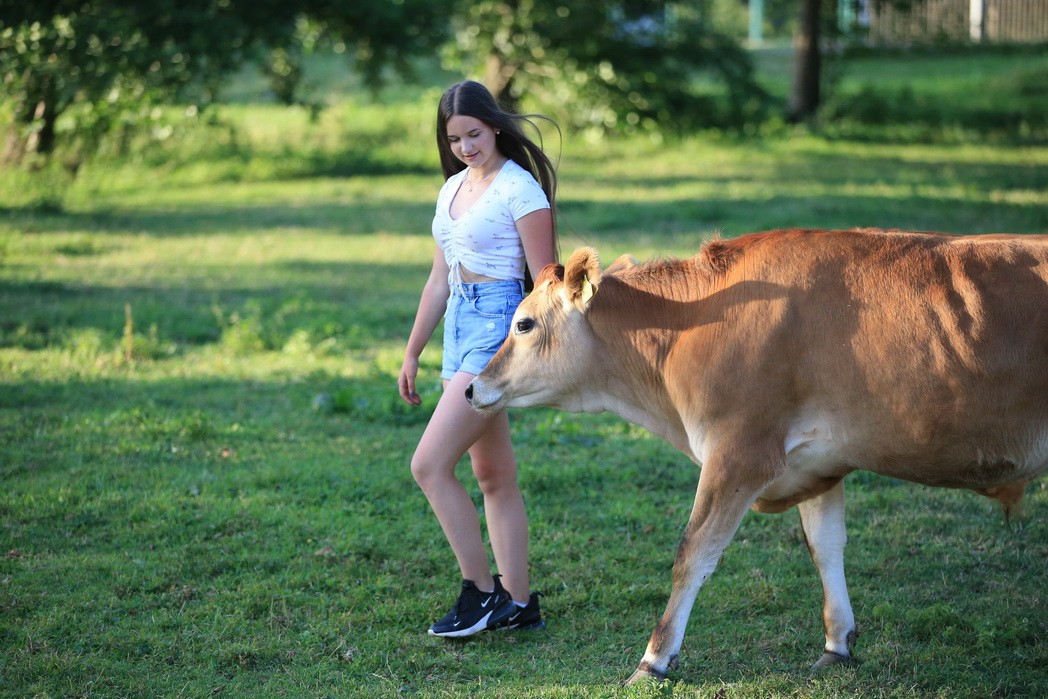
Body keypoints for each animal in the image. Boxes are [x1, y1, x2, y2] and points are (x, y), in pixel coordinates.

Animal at [467, 228, 1048, 683]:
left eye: (523, 323)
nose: (472, 388)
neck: (693, 326)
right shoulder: (818, 463)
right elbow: (826, 548)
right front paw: (837, 645)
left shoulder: (739, 454)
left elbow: (693, 553)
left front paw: (654, 659)